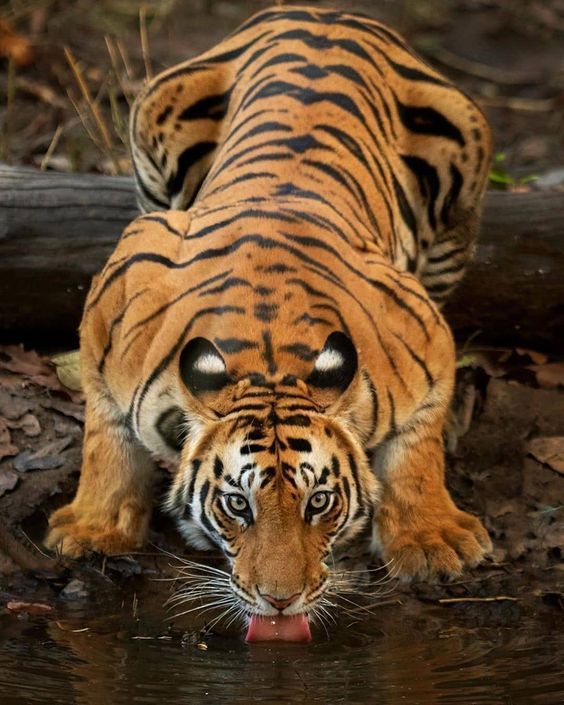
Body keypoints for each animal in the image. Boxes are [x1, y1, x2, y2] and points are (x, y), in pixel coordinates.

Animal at [46, 4, 492, 640]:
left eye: (319, 503)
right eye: (238, 505)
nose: (280, 601)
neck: (269, 359)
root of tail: (326, 13)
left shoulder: (423, 329)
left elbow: (417, 448)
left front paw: (432, 539)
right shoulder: (120, 289)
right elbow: (105, 434)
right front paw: (93, 526)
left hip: (457, 191)